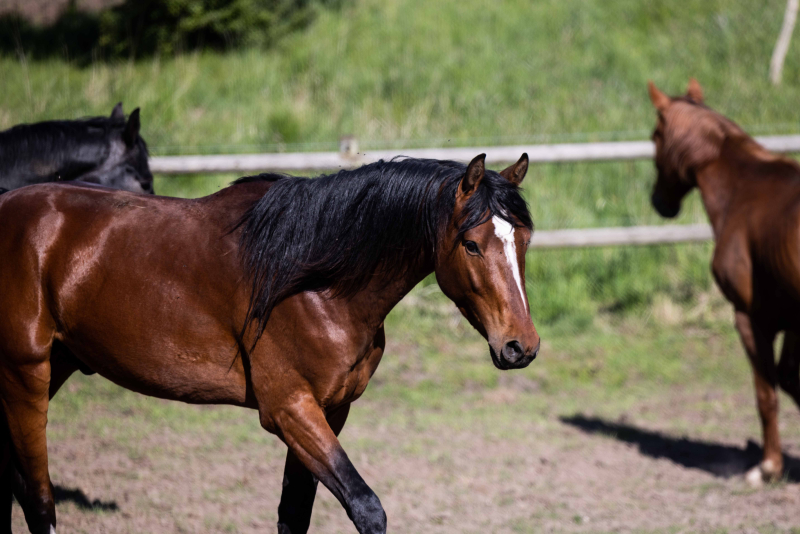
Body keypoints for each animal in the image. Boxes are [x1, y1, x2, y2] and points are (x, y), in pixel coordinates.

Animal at [0, 153, 540, 532]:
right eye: (471, 244)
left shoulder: (330, 411)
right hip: (24, 375)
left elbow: (293, 515)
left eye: (525, 241)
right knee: (38, 497)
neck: (314, 280)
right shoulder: (289, 409)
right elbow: (366, 507)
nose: (522, 347)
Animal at [648, 78, 800, 486]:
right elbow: (790, 382)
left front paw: (769, 467)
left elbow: (768, 394)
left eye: (654, 138)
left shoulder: (751, 318)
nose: (658, 202)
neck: (743, 188)